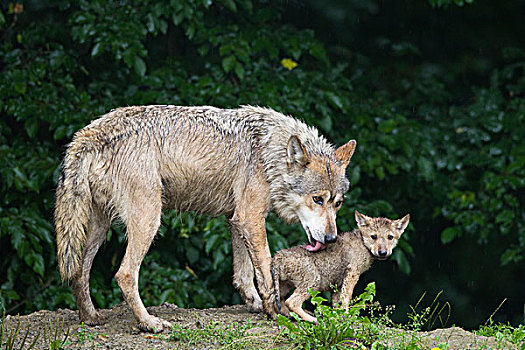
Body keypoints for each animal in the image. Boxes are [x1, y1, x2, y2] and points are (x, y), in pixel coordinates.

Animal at [54, 105, 356, 332]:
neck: (269, 154)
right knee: (125, 274)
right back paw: (149, 323)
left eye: (337, 203)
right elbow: (266, 269)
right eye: (317, 199)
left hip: (99, 227)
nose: (332, 238)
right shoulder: (251, 218)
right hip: (149, 221)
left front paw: (256, 304)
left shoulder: (236, 219)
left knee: (79, 271)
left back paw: (91, 318)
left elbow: (243, 274)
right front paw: (274, 310)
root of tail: (89, 133)